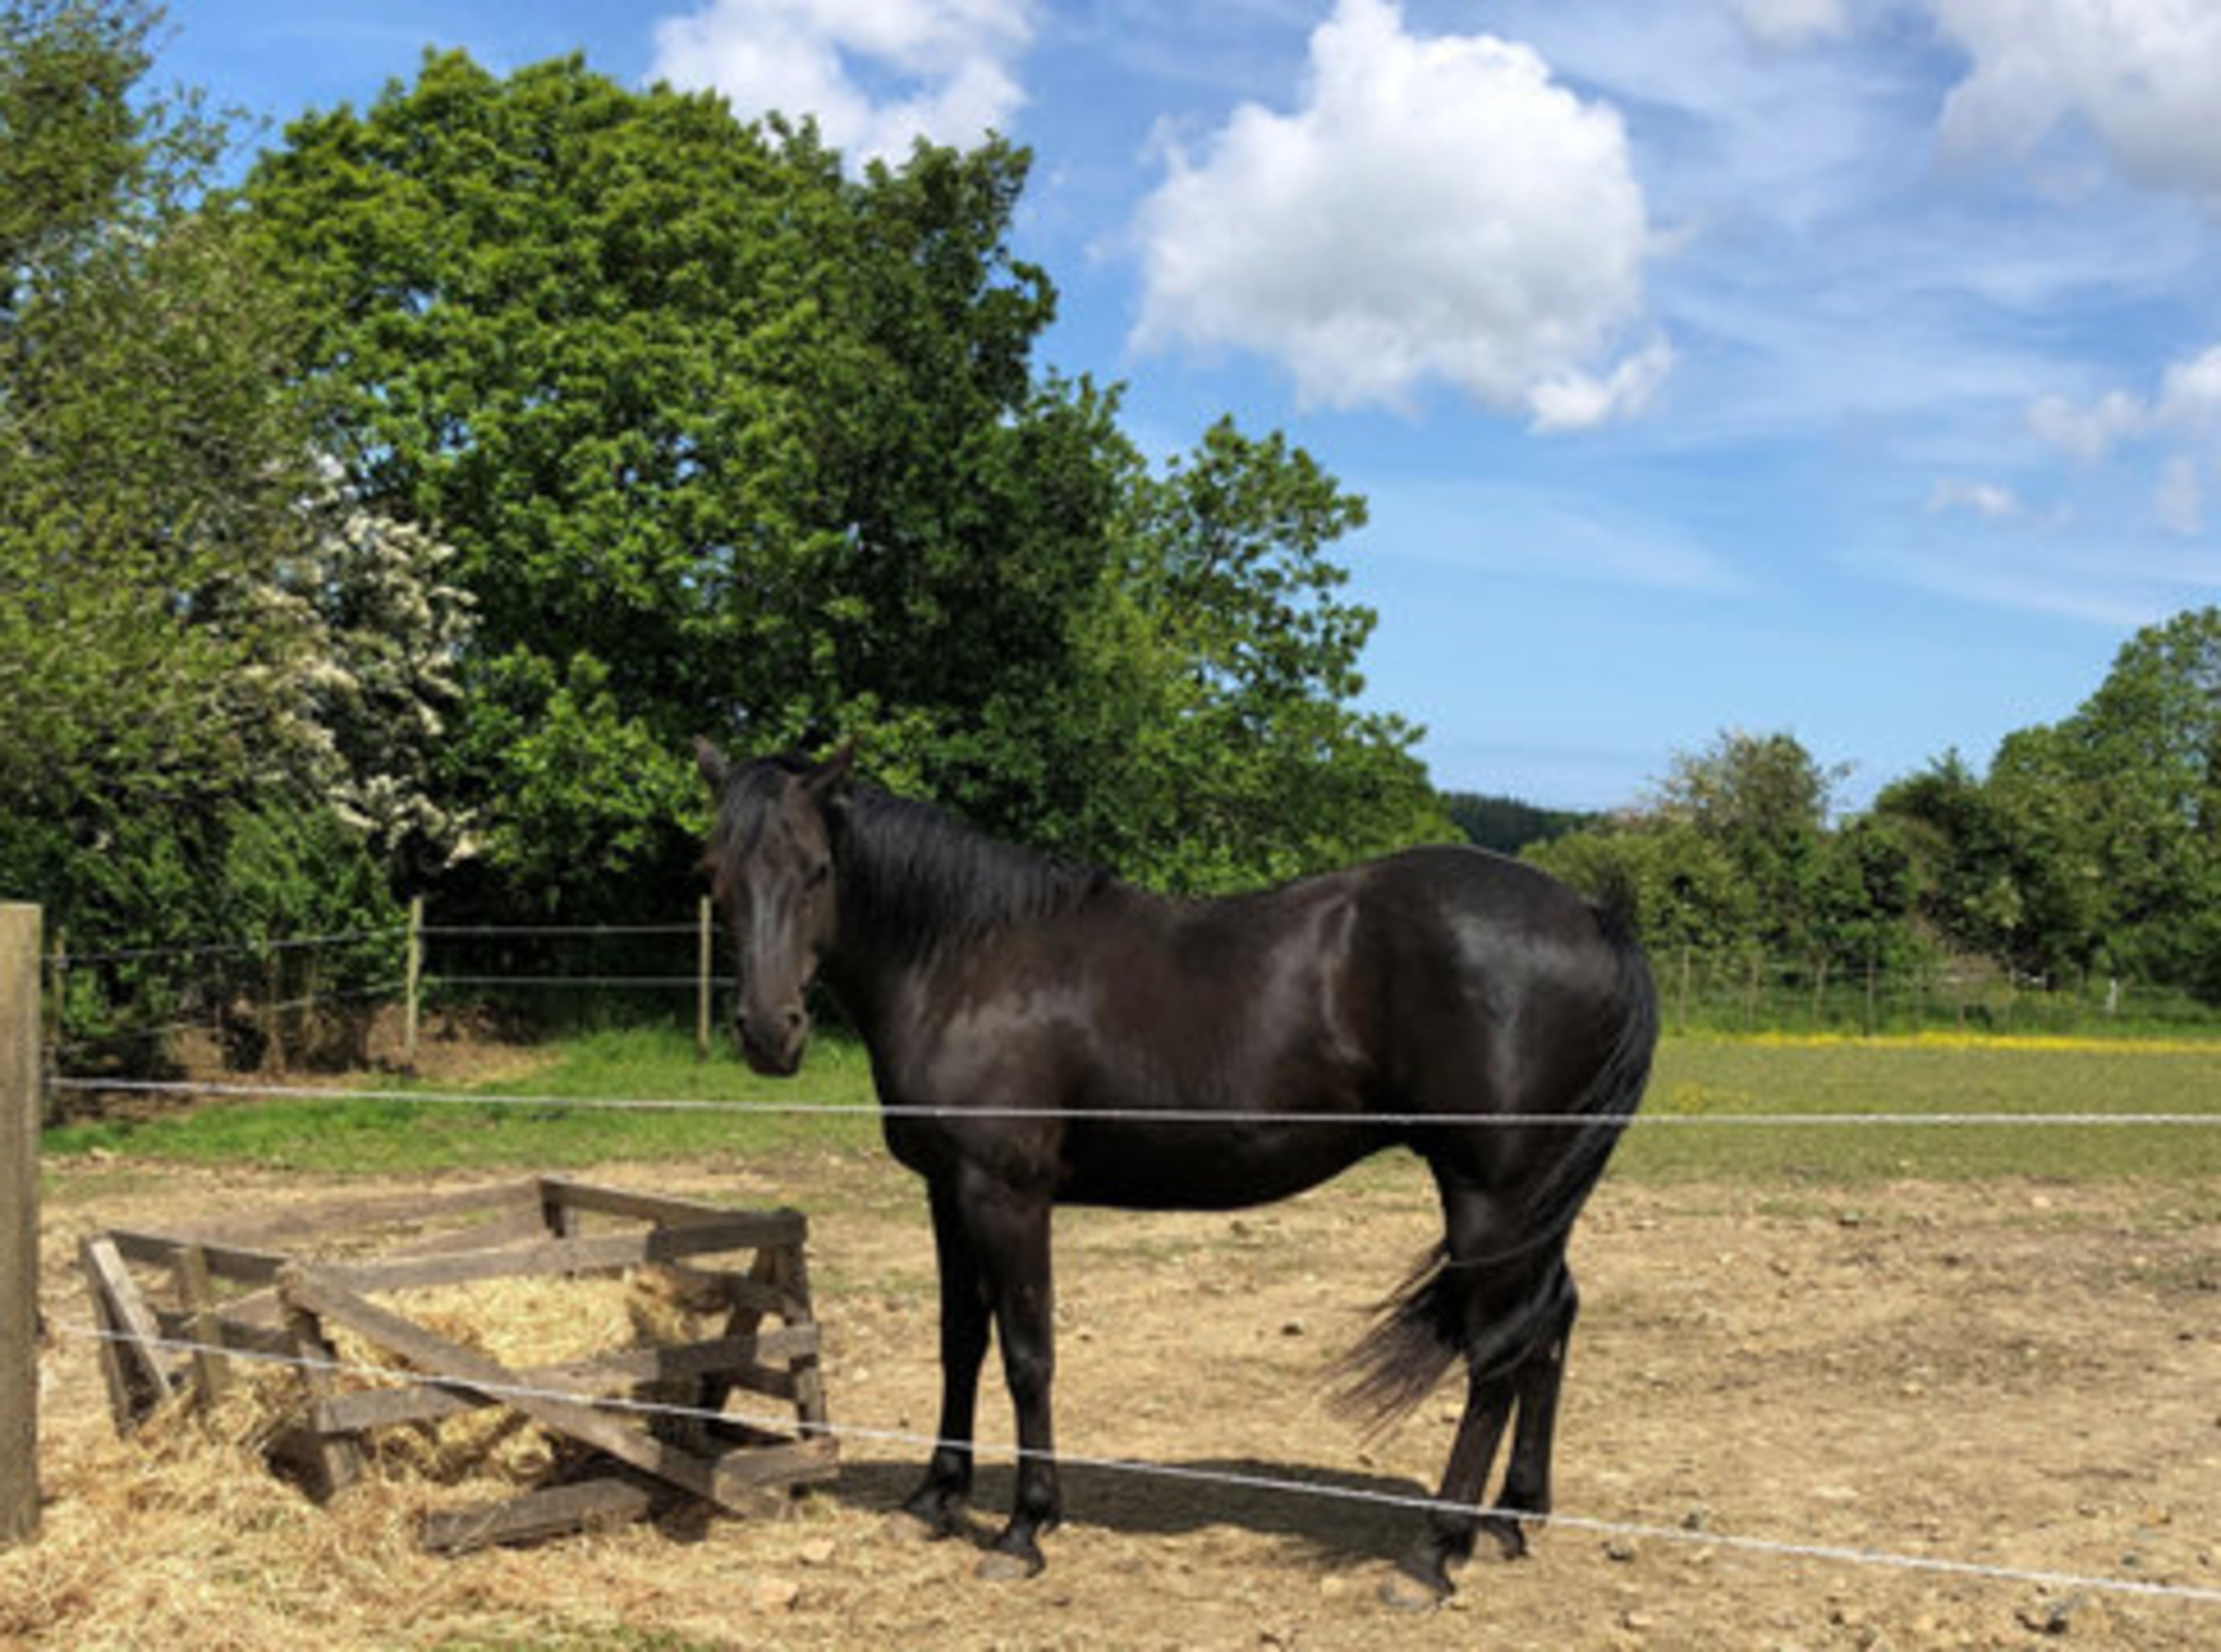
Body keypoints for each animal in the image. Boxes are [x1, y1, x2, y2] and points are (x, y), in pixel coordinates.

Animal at [695, 738, 1656, 1607]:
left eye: (818, 869)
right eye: (716, 875)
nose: (768, 1033)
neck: (968, 960)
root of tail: (1589, 915)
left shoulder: (1005, 1194)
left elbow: (1026, 1353)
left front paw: (1023, 1529)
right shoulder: (945, 1190)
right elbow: (959, 1339)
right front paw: (932, 1500)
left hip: (1492, 1196)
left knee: (1497, 1352)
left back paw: (1432, 1555)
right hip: (1535, 1203)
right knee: (1550, 1322)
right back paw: (1509, 1520)